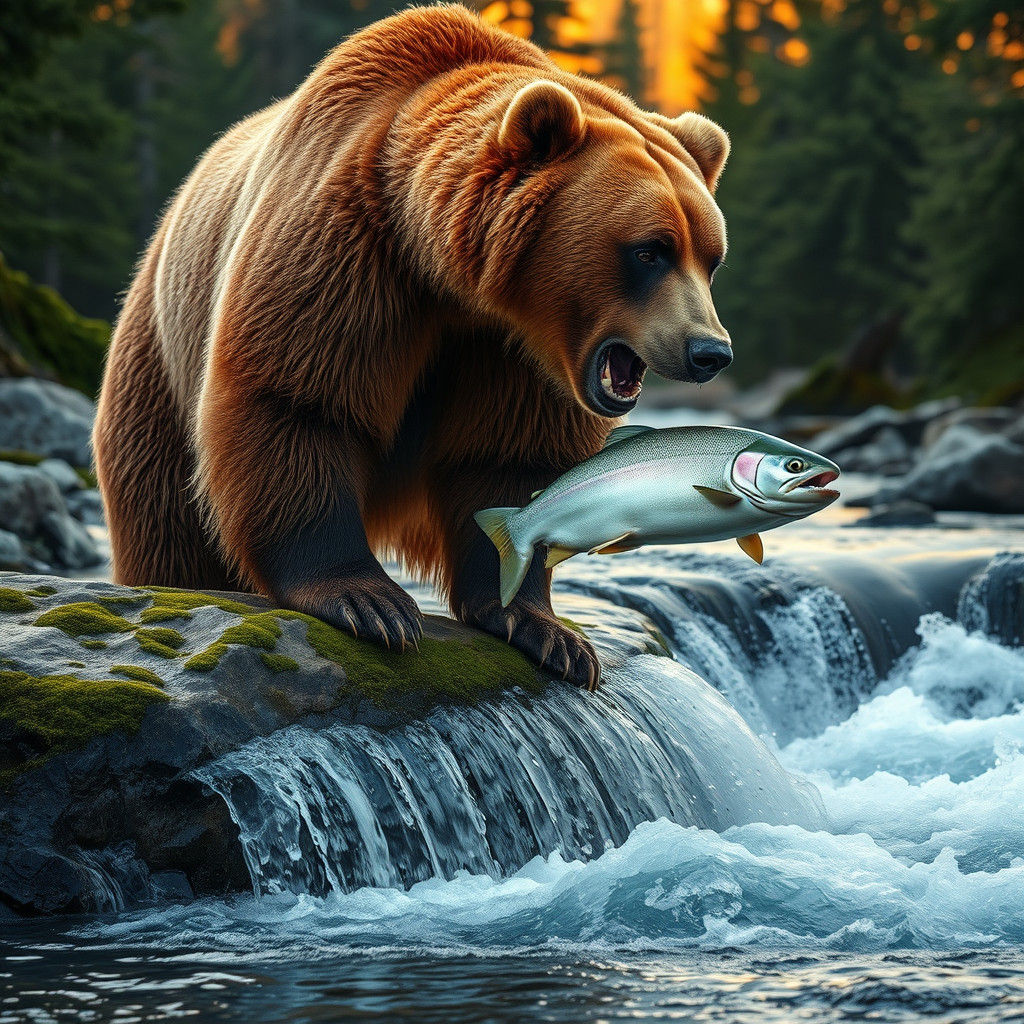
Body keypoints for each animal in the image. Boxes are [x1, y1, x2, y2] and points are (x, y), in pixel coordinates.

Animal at [93, 4, 733, 689]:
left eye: (711, 256)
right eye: (651, 250)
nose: (709, 351)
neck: (447, 275)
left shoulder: (509, 353)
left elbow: (505, 458)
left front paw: (546, 630)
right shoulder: (348, 250)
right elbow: (300, 398)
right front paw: (369, 603)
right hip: (157, 363)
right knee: (168, 514)